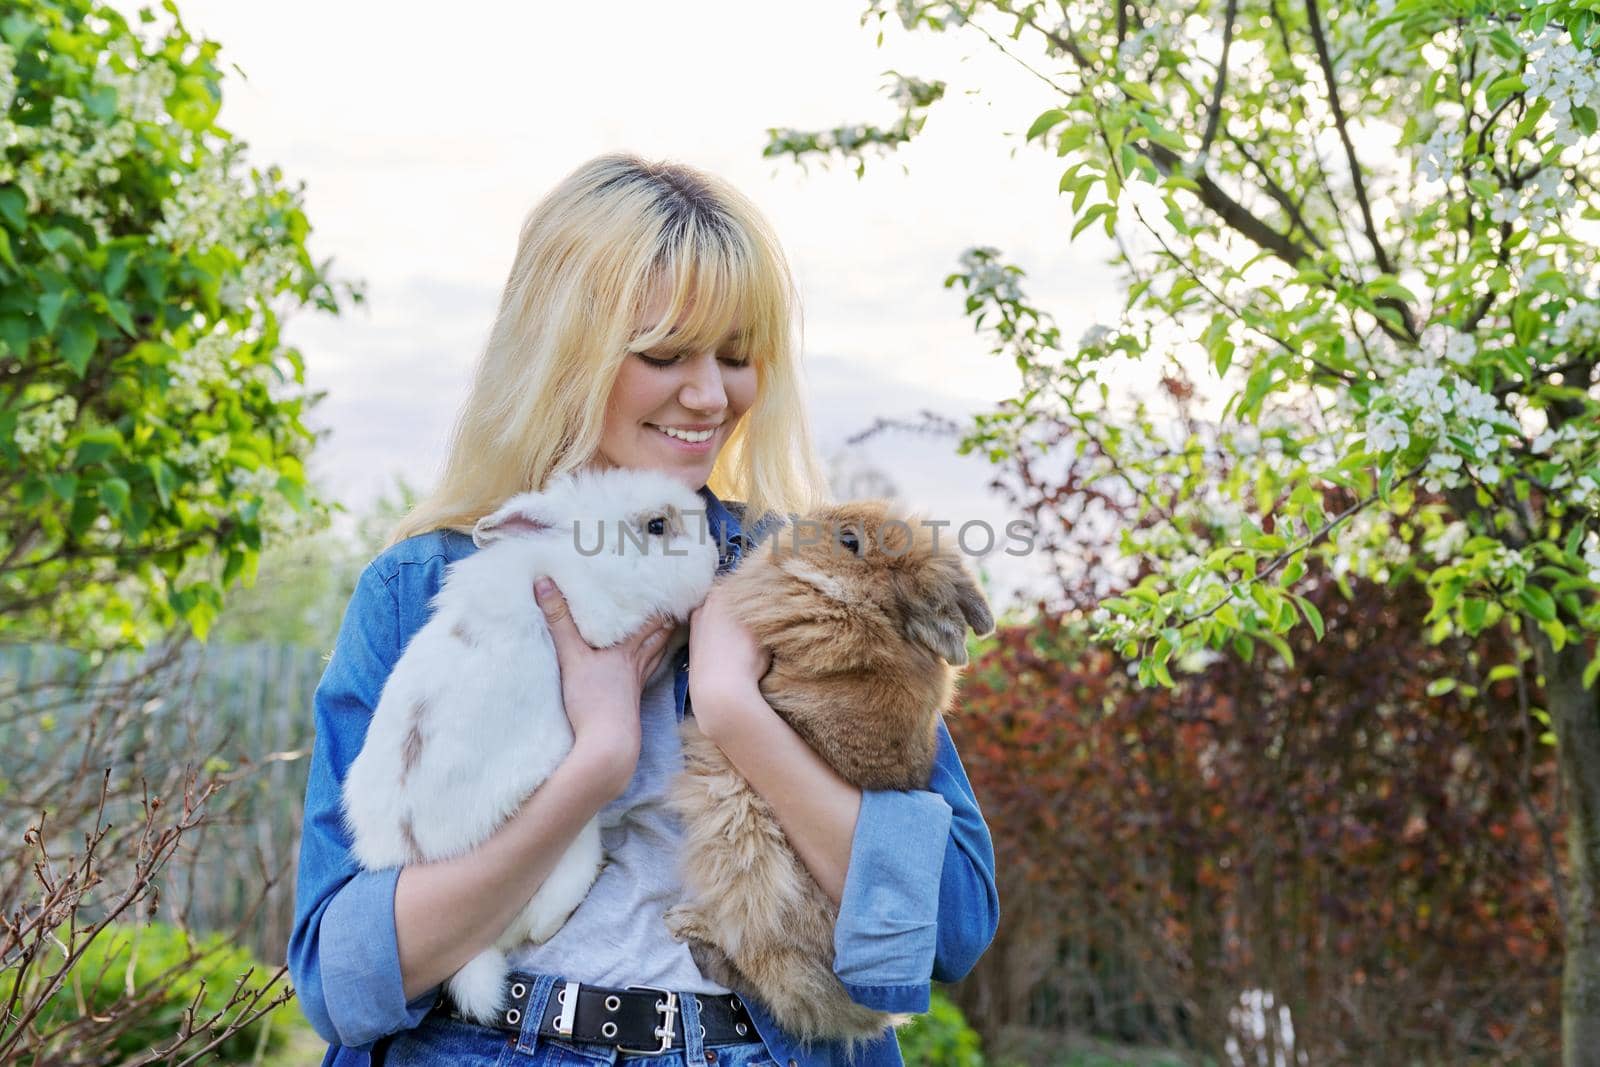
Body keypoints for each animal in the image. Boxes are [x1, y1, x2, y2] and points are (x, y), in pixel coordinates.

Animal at [342, 470, 720, 1023]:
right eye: (657, 525)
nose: (713, 557)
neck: (588, 559)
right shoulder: (606, 625)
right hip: (570, 844)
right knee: (539, 926)